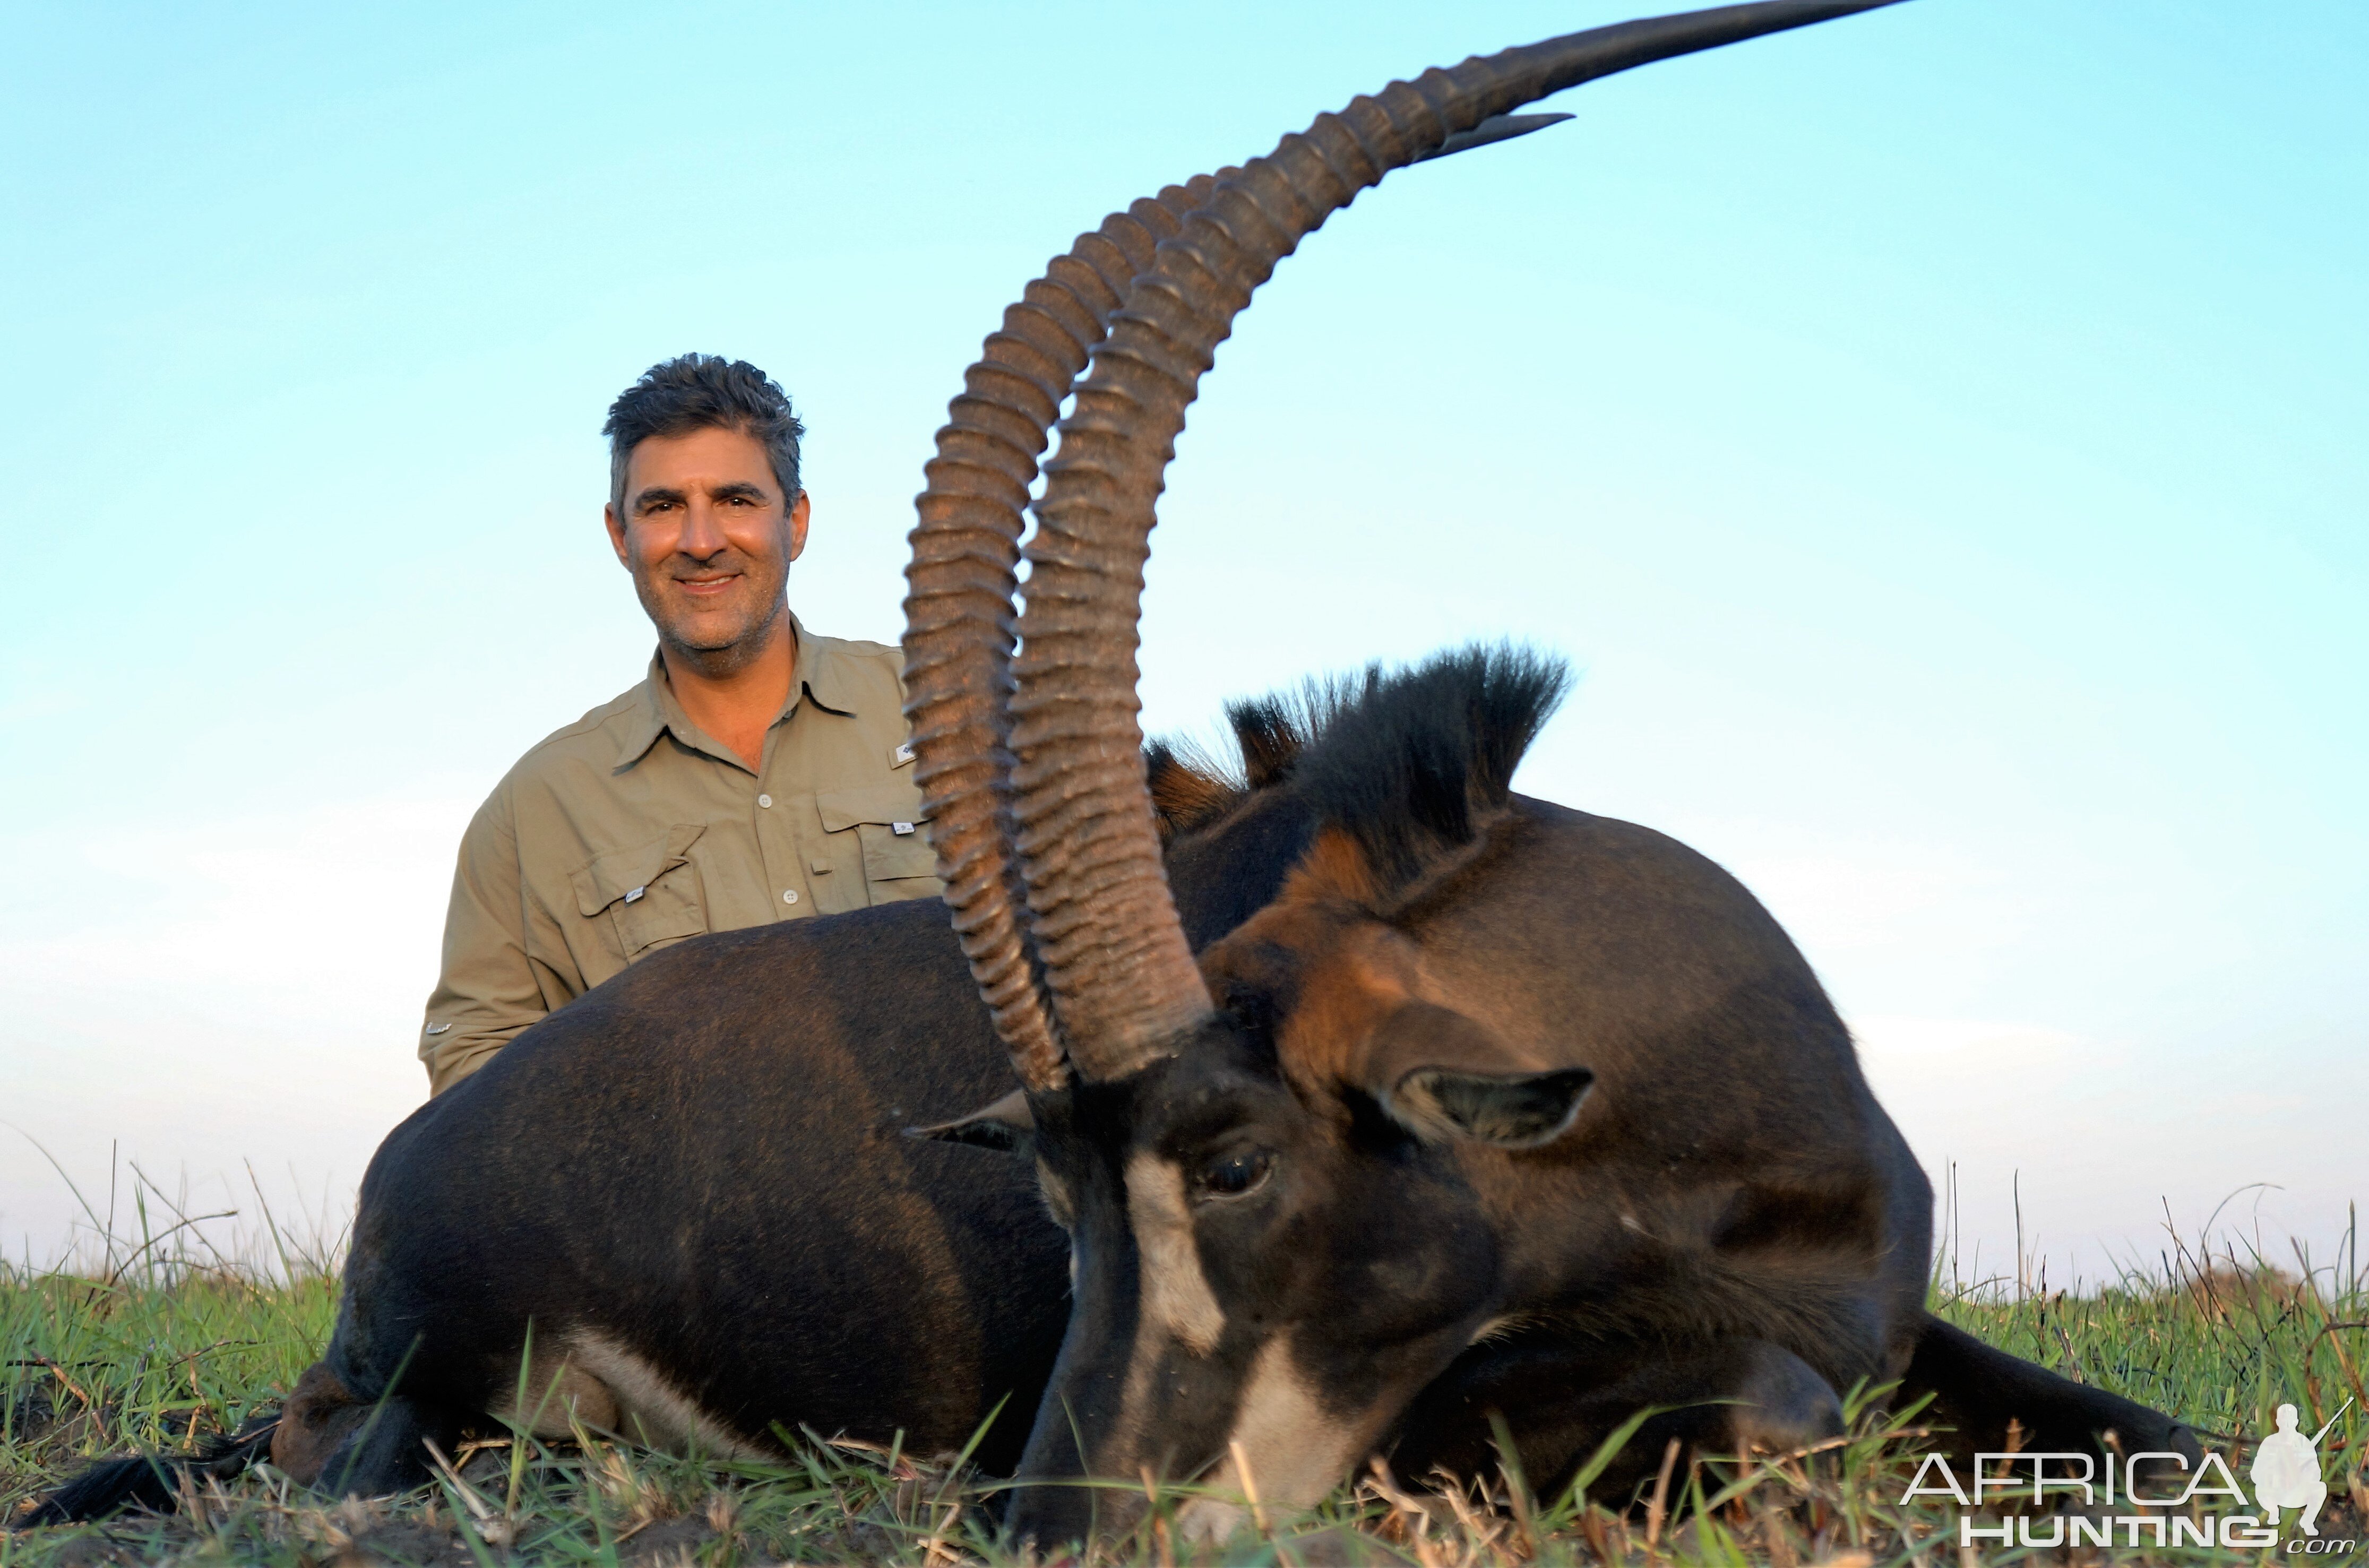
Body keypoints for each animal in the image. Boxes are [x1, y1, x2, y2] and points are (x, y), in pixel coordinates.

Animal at [32, 0, 2198, 1544]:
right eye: (1050, 1188)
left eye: (1227, 1159)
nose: (1046, 1519)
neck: (1694, 1087)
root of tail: (416, 1150)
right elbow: (1749, 1416)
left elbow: (2145, 1444)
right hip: (430, 1378)